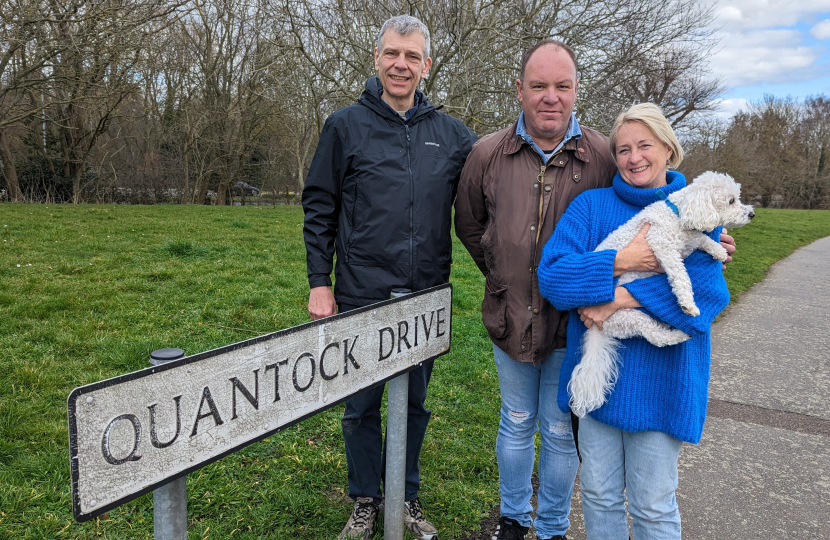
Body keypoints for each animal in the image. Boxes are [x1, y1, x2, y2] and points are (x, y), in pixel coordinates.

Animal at [572, 172, 752, 418]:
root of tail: (595, 329)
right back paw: (680, 334)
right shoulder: (662, 246)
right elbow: (681, 275)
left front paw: (720, 251)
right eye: (732, 200)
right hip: (630, 318)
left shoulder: (691, 239)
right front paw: (687, 303)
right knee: (657, 338)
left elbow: (703, 239)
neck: (678, 214)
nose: (752, 213)